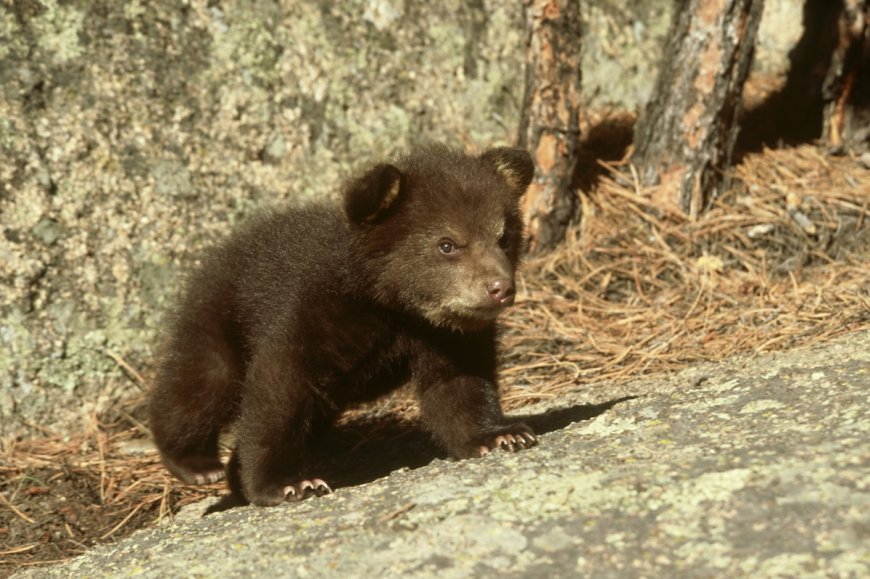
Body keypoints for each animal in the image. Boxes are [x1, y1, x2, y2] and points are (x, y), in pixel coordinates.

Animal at [148, 144, 537, 507]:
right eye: (447, 244)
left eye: (503, 236)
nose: (500, 288)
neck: (395, 307)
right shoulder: (317, 312)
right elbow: (279, 388)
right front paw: (287, 483)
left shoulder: (445, 335)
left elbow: (459, 382)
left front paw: (500, 435)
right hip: (221, 314)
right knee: (202, 381)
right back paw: (195, 462)